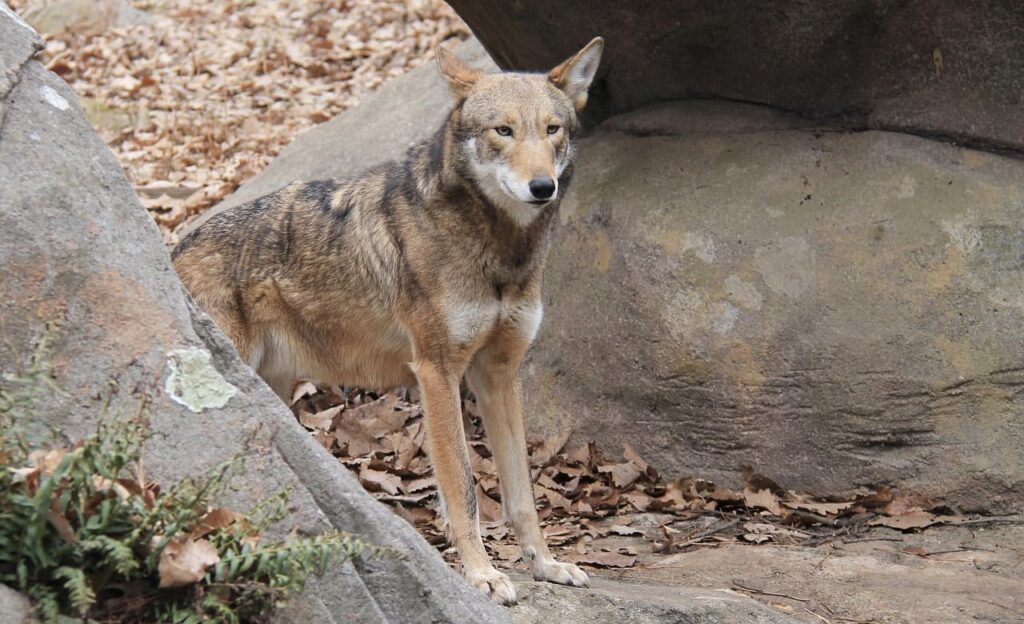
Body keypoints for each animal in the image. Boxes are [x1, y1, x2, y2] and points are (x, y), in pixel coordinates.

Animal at [172, 37, 604, 605]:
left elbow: (522, 494)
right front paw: (482, 574)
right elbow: (463, 488)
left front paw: (547, 565)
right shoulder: (437, 373)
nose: (542, 187)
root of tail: (173, 249)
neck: (500, 252)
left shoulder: (498, 375)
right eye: (503, 131)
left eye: (551, 129)